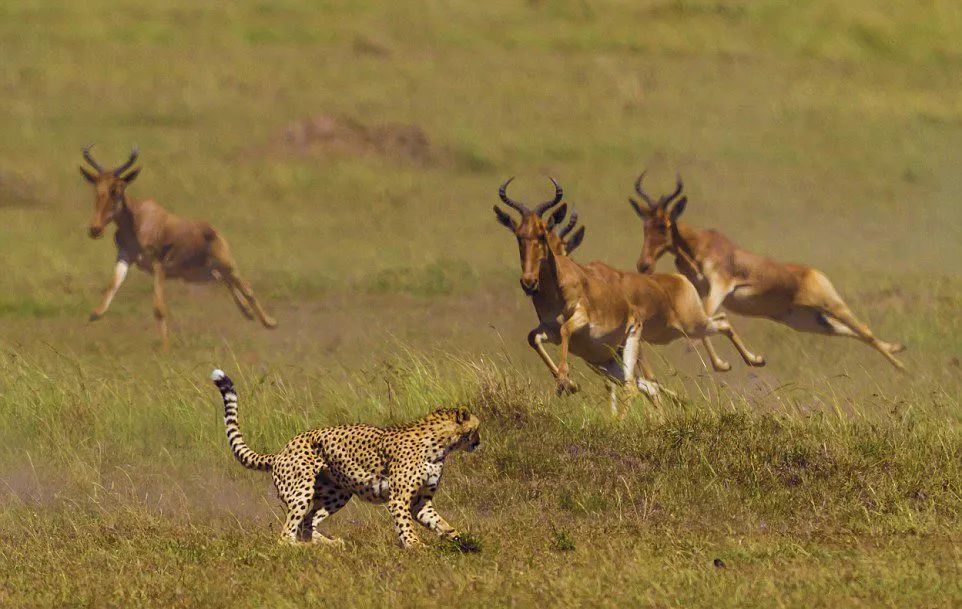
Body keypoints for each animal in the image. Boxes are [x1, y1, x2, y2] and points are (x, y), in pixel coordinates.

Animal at [79, 145, 276, 346]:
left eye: (117, 190)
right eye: (97, 189)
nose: (95, 229)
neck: (139, 218)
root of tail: (214, 231)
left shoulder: (159, 264)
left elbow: (159, 308)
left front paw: (165, 347)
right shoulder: (125, 256)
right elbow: (113, 284)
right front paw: (95, 314)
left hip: (225, 264)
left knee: (246, 286)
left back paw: (269, 322)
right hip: (204, 273)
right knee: (225, 281)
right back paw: (248, 312)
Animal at [210, 368, 480, 548]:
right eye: (476, 429)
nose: (478, 442)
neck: (440, 445)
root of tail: (282, 450)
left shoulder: (420, 501)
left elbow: (438, 521)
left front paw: (459, 539)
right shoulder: (399, 499)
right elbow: (406, 526)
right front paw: (416, 547)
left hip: (336, 492)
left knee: (307, 523)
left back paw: (327, 545)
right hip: (301, 491)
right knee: (286, 536)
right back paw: (303, 548)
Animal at [496, 177, 764, 414]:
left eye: (542, 234)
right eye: (519, 235)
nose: (528, 282)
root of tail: (678, 279)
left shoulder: (583, 319)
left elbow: (565, 330)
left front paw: (565, 381)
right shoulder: (549, 329)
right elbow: (533, 338)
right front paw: (569, 384)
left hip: (682, 326)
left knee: (720, 323)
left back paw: (751, 360)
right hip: (617, 358)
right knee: (642, 384)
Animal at [628, 172, 904, 370]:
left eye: (664, 224)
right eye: (645, 225)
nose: (644, 264)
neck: (699, 245)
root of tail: (813, 272)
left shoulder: (720, 286)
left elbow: (708, 320)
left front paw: (729, 363)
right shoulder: (698, 289)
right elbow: (704, 322)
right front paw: (746, 361)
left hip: (829, 303)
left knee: (864, 329)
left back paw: (902, 367)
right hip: (807, 320)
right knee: (848, 331)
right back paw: (896, 348)